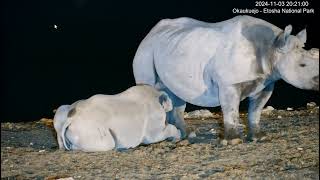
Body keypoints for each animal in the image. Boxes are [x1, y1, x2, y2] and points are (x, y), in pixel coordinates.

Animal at [53, 85, 181, 151]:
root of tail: (72, 119)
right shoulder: (153, 125)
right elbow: (163, 132)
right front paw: (177, 137)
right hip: (89, 128)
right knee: (108, 144)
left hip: (66, 113)